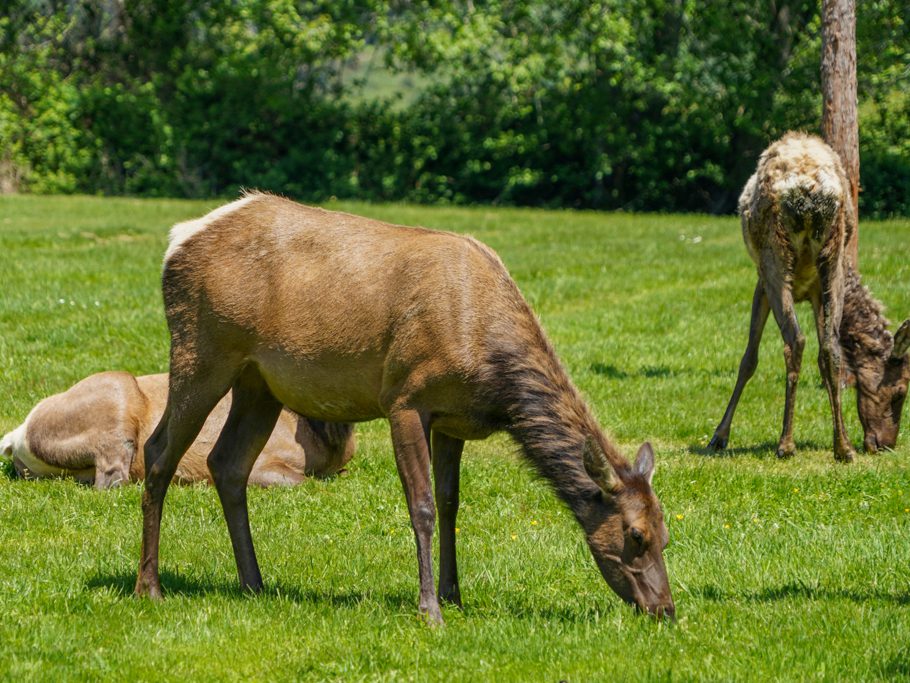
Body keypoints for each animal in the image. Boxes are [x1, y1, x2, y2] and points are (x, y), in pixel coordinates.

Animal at [135, 194, 676, 624]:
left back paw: (254, 583)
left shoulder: (455, 419)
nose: (665, 610)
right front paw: (429, 608)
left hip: (259, 382)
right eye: (636, 535)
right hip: (203, 349)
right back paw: (150, 587)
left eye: (667, 535)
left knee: (228, 464)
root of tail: (177, 240)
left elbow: (452, 503)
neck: (493, 378)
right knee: (159, 451)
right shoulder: (405, 398)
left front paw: (455, 595)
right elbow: (422, 506)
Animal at [712, 133, 910, 462]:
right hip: (831, 258)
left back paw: (786, 443)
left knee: (795, 340)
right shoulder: (817, 290)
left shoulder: (761, 282)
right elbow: (826, 358)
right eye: (901, 392)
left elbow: (748, 359)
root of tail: (808, 188)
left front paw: (719, 435)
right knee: (830, 347)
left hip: (775, 258)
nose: (886, 444)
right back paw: (843, 447)